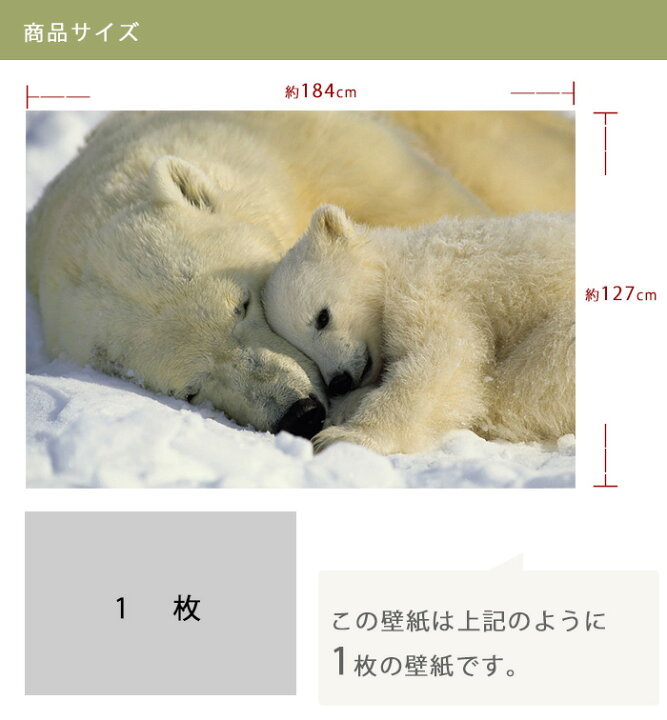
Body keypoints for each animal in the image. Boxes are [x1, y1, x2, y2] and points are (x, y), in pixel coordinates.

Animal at [263, 205, 575, 454]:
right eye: (303, 350)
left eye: (322, 317)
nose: (339, 381)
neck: (398, 258)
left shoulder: (425, 285)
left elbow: (440, 361)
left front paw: (342, 436)